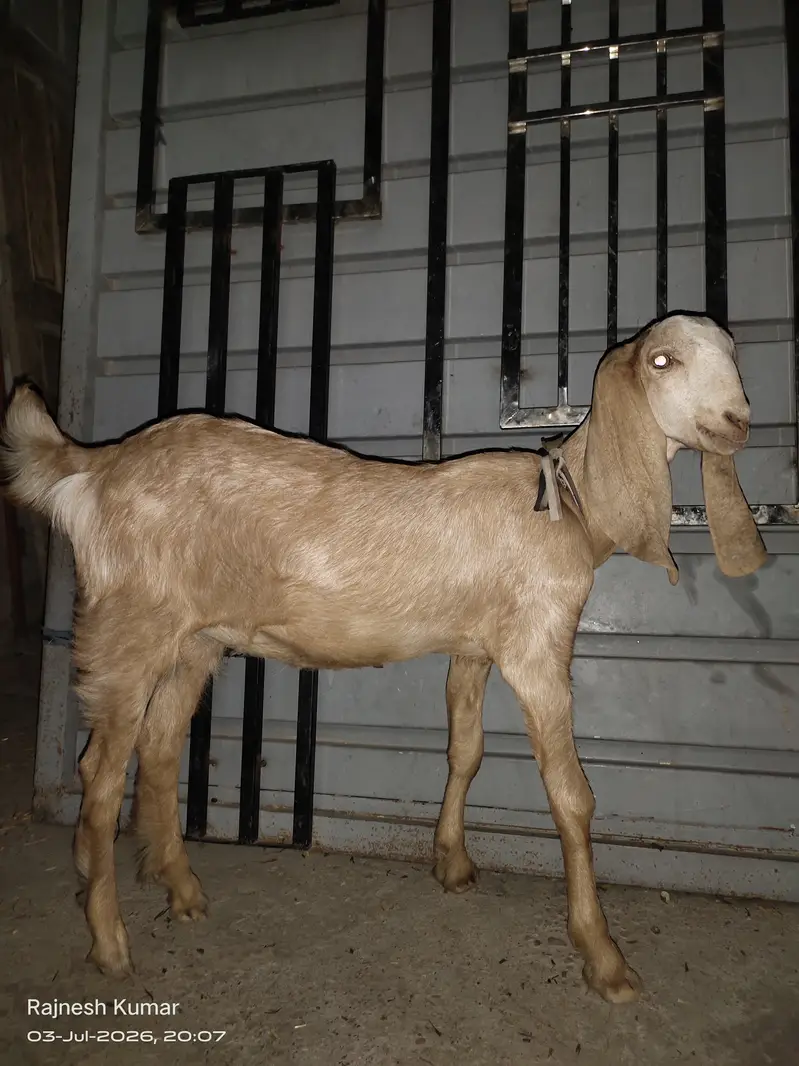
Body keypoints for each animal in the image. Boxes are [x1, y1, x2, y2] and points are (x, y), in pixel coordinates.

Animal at [0, 312, 766, 1003]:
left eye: (734, 353)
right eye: (662, 360)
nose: (739, 421)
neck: (569, 505)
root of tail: (96, 465)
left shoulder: (472, 649)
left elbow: (466, 750)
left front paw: (451, 862)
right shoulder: (536, 646)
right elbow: (569, 794)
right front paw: (604, 959)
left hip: (195, 638)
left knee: (157, 743)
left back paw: (181, 889)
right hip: (130, 626)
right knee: (99, 772)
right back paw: (109, 939)